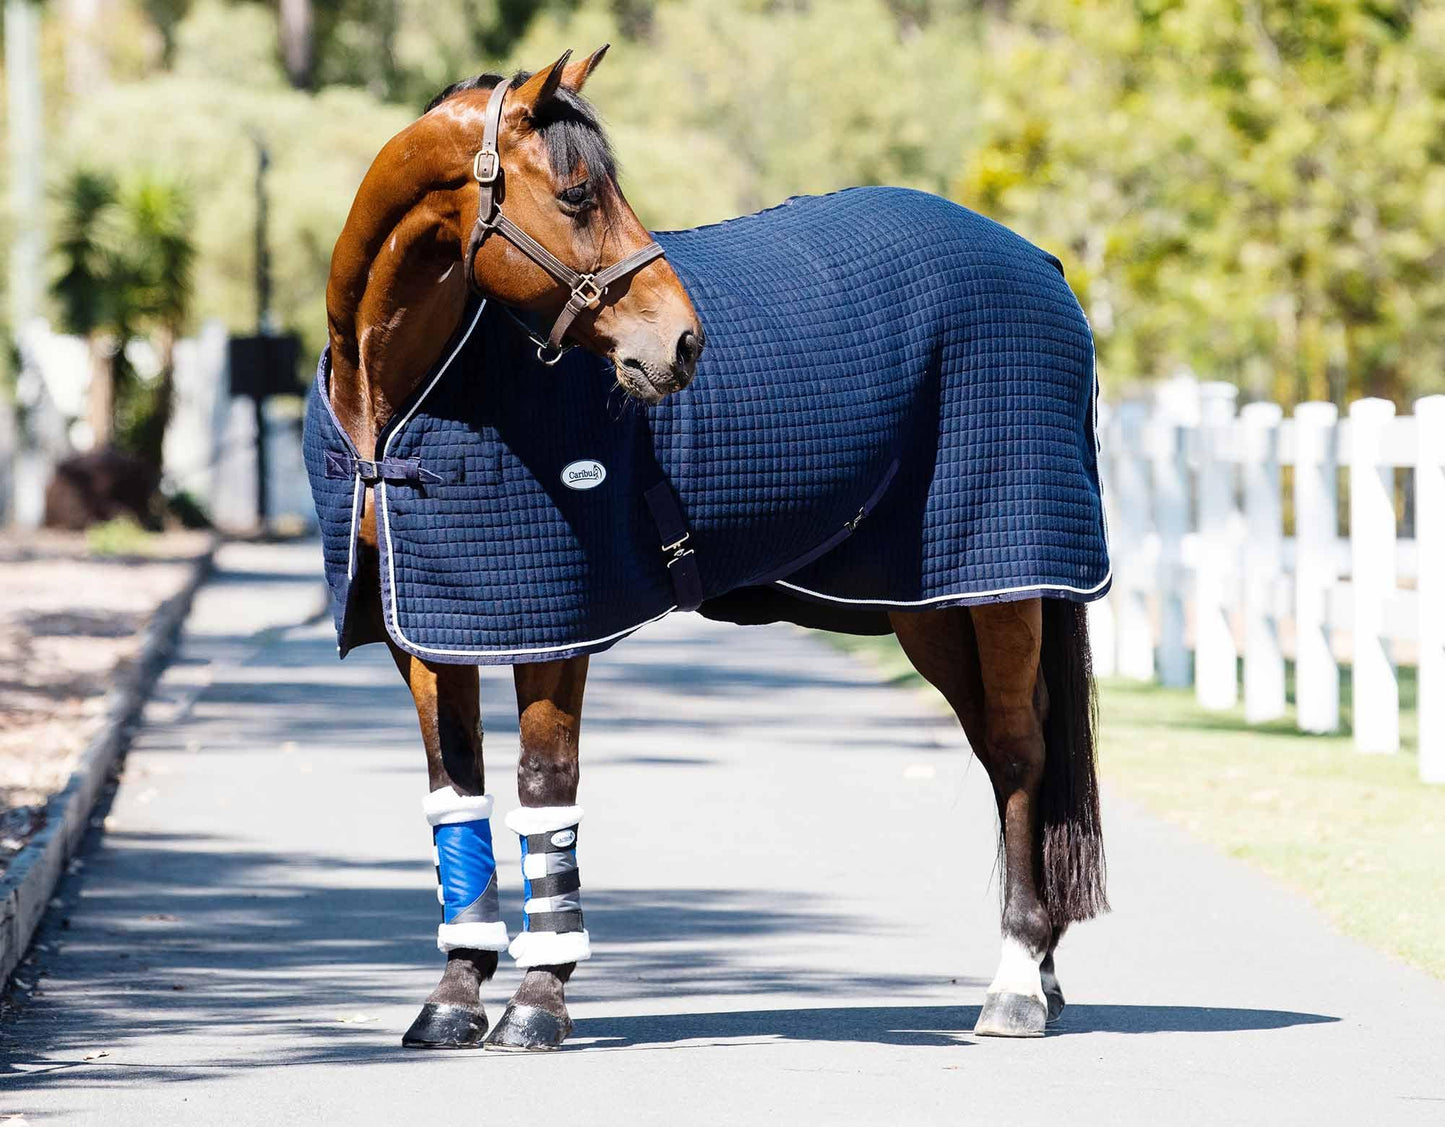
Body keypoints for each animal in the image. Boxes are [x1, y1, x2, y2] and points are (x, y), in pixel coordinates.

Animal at [319, 41, 1103, 1046]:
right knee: (1004, 748)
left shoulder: (556, 625)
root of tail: (1040, 262)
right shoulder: (430, 625)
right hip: (928, 608)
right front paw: (454, 994)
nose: (683, 342)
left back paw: (1014, 982)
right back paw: (1040, 975)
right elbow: (457, 789)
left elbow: (545, 786)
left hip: (1001, 578)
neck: (400, 406)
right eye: (578, 193)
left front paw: (538, 999)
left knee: (1016, 751)